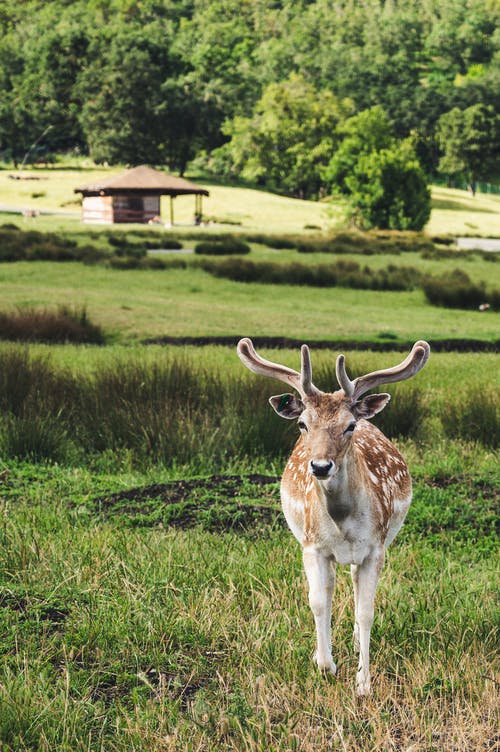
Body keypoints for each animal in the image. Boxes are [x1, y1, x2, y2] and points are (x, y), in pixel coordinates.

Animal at [237, 338, 430, 696]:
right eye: (303, 424)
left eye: (348, 426)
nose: (320, 466)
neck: (342, 522)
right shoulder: (312, 546)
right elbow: (318, 601)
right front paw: (325, 664)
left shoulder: (376, 548)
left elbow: (367, 611)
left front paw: (363, 683)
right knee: (329, 590)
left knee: (353, 583)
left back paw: (354, 643)